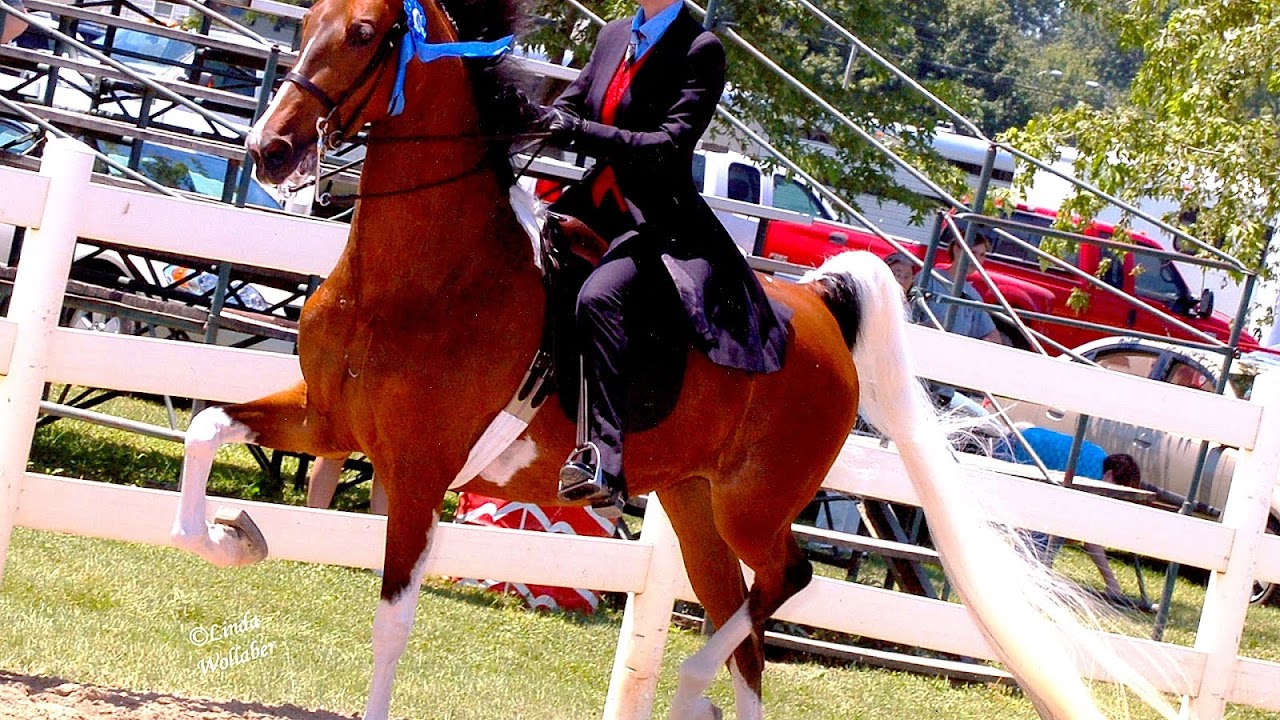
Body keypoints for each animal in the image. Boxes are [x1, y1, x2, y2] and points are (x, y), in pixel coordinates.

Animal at [167, 0, 1172, 717]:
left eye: (367, 33)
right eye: (305, 21)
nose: (270, 150)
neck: (420, 272)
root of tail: (820, 305)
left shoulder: (417, 470)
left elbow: (390, 623)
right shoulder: (327, 417)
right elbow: (207, 429)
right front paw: (234, 536)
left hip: (754, 504)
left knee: (788, 582)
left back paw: (689, 684)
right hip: (692, 503)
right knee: (751, 635)